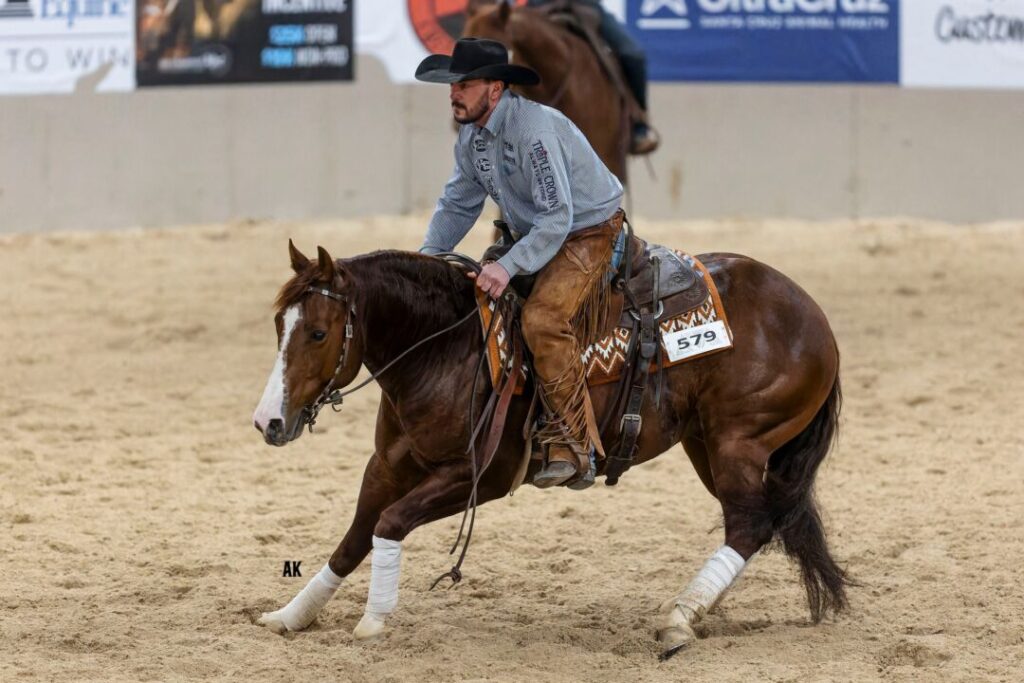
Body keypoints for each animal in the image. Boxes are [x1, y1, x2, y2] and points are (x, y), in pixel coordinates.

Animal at [251, 240, 849, 659]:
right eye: (279, 323)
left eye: (320, 333)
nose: (268, 422)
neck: (445, 348)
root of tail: (814, 314)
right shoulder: (387, 466)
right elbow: (353, 539)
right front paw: (291, 615)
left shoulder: (481, 477)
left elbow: (389, 524)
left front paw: (374, 620)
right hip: (705, 443)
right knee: (756, 523)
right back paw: (696, 608)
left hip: (737, 441)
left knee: (750, 525)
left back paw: (679, 617)